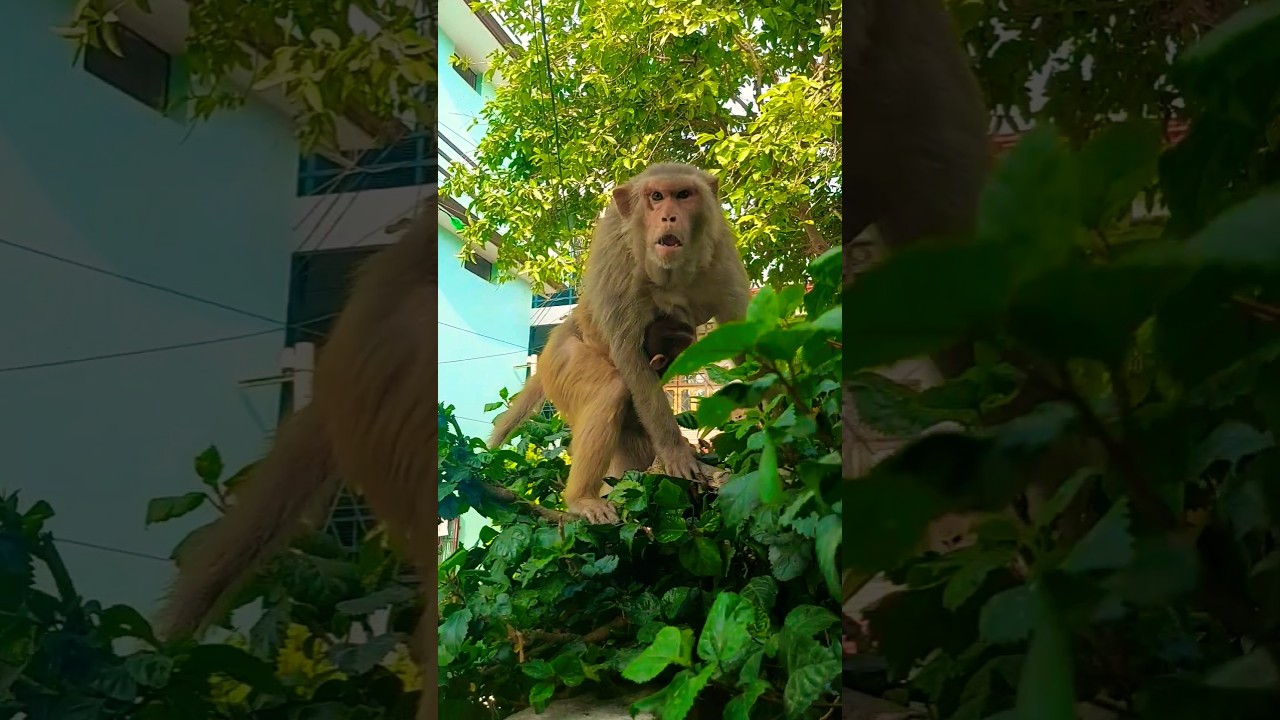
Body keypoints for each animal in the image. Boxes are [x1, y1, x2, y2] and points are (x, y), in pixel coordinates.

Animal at [489, 163, 751, 524]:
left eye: (684, 194)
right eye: (656, 197)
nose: (669, 216)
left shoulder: (721, 251)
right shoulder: (616, 255)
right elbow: (627, 351)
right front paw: (675, 452)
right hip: (561, 361)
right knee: (610, 387)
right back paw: (582, 498)